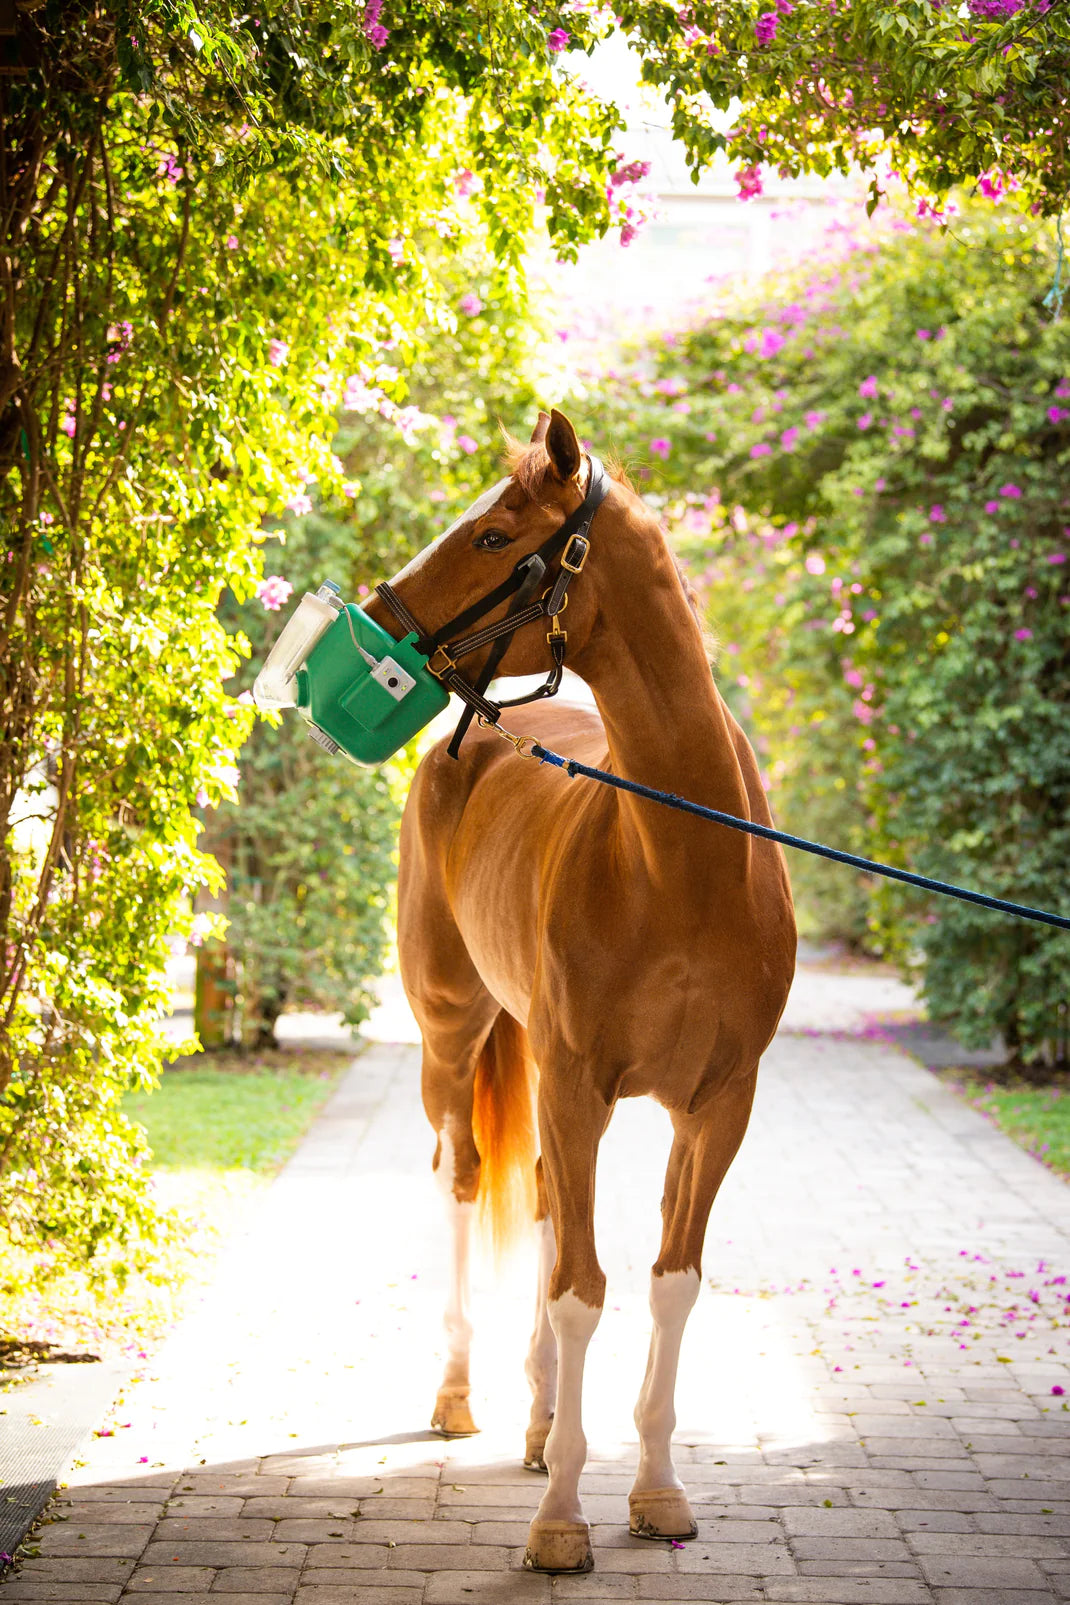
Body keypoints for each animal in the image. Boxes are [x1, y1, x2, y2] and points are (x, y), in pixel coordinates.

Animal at [366, 408, 796, 1574]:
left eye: (492, 534)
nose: (374, 620)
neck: (683, 864)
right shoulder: (571, 1084)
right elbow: (577, 1290)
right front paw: (560, 1521)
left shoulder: (718, 1104)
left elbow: (663, 1281)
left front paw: (654, 1492)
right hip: (452, 1037)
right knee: (464, 1180)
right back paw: (459, 1396)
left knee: (551, 1208)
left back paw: (540, 1419)